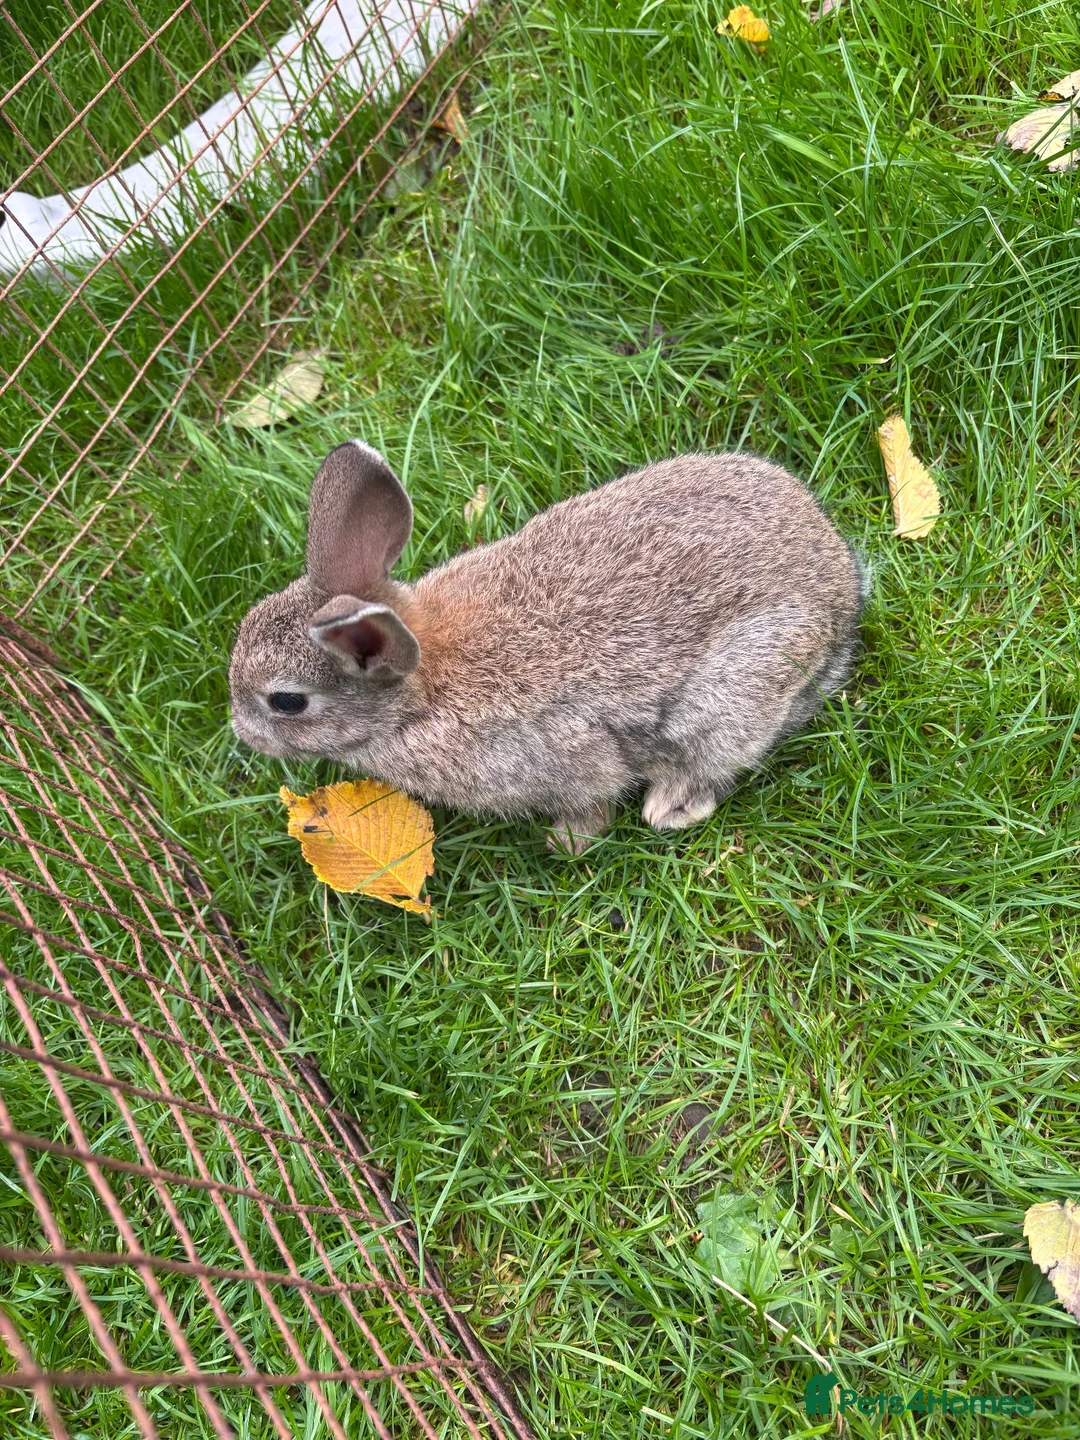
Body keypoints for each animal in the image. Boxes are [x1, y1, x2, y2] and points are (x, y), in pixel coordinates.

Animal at [229, 441, 867, 853]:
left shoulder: (568, 754)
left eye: (286, 702)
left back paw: (668, 809)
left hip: (730, 695)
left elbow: (593, 800)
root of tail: (842, 586)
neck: (420, 688)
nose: (242, 733)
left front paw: (565, 844)